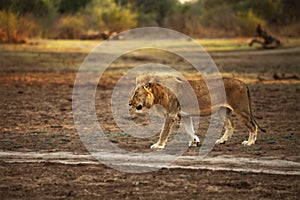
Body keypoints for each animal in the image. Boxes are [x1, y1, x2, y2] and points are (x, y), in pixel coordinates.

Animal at [129, 76, 264, 149]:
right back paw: (221, 141)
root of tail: (243, 82)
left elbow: (164, 132)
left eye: (136, 93)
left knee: (253, 126)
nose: (129, 103)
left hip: (241, 110)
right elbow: (190, 130)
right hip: (222, 111)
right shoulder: (184, 116)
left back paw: (249, 142)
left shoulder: (171, 114)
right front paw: (195, 141)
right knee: (231, 126)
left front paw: (158, 145)